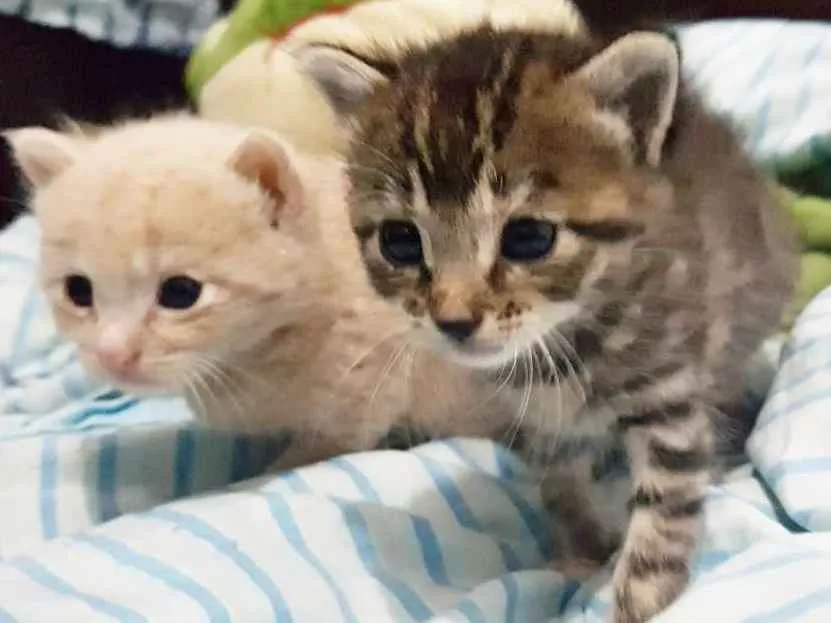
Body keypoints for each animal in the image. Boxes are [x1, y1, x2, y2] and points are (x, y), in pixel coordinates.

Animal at [299, 24, 798, 623]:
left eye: (529, 238)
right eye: (400, 241)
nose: (453, 320)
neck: (564, 340)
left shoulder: (669, 386)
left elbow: (668, 500)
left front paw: (642, 597)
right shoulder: (539, 419)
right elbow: (559, 485)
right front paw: (583, 551)